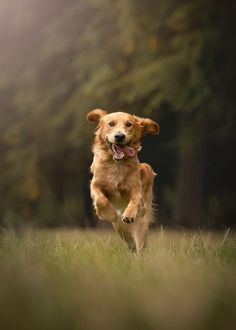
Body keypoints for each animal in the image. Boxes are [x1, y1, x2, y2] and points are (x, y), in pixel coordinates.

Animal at [85, 109, 159, 251]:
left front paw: (129, 214)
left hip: (142, 221)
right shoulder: (95, 184)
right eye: (111, 124)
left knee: (140, 239)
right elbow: (101, 199)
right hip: (119, 228)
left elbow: (135, 200)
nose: (120, 136)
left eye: (129, 124)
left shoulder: (136, 188)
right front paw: (110, 214)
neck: (116, 165)